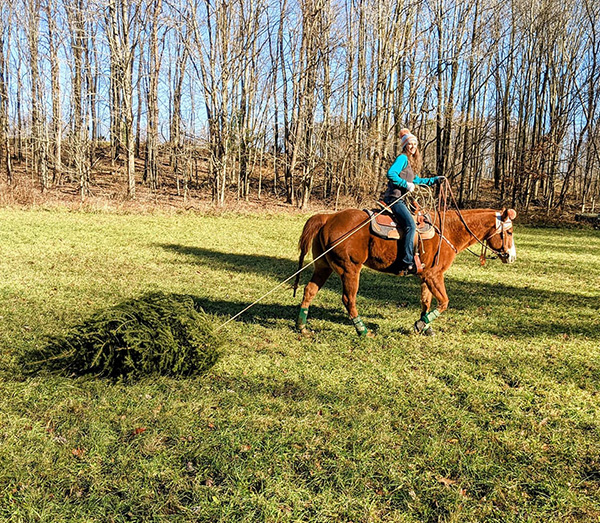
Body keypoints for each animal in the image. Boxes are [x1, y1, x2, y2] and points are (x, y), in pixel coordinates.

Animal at [294, 207, 516, 338]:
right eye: (510, 231)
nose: (512, 256)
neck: (448, 231)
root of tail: (328, 218)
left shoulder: (425, 276)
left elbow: (426, 301)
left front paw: (426, 327)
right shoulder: (435, 275)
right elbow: (444, 302)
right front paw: (420, 324)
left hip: (323, 267)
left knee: (309, 290)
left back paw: (302, 326)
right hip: (350, 269)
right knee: (349, 299)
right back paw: (363, 330)